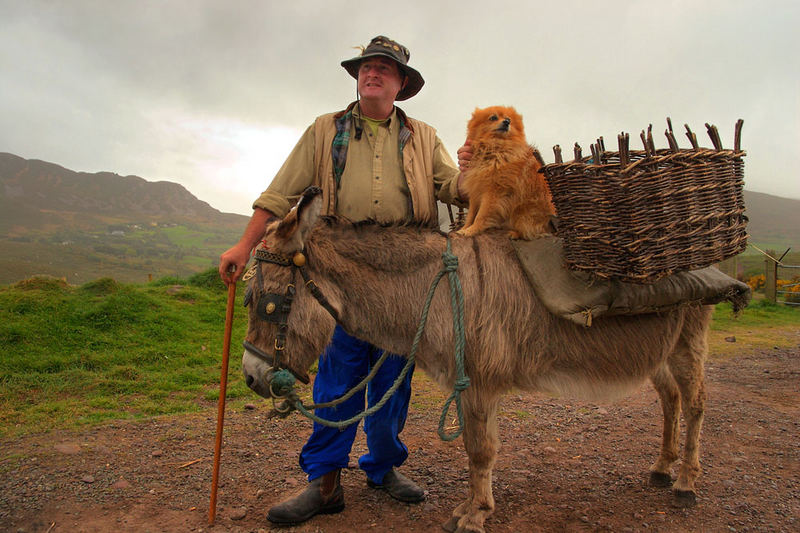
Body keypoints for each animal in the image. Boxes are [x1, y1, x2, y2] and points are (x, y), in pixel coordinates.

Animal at [460, 106, 552, 239]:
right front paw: (464, 228)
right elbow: (471, 215)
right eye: (493, 117)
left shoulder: (494, 192)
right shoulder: (476, 190)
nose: (506, 122)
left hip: (520, 212)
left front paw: (472, 230)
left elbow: (481, 215)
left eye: (509, 119)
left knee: (530, 232)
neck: (495, 148)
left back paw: (514, 233)